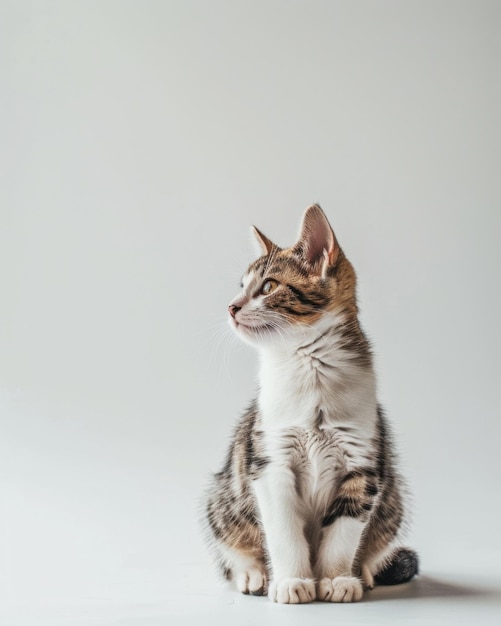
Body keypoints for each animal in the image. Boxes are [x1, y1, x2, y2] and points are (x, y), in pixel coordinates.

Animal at [203, 204, 418, 600]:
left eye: (268, 286)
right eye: (241, 288)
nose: (231, 306)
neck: (309, 367)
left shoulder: (363, 463)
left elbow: (344, 530)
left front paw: (336, 579)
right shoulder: (269, 460)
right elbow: (283, 530)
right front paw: (293, 581)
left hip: (393, 494)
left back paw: (364, 571)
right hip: (222, 496)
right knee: (230, 541)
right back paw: (251, 573)